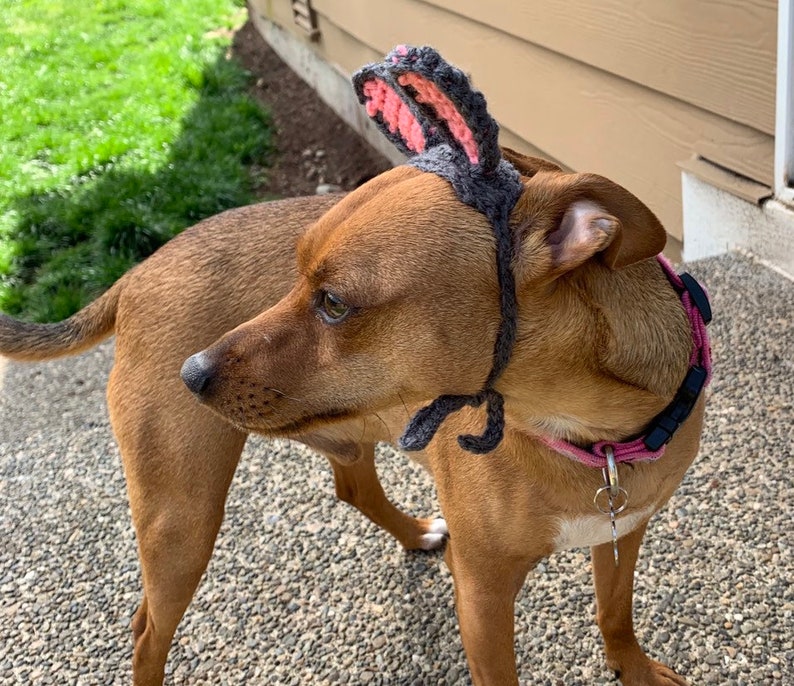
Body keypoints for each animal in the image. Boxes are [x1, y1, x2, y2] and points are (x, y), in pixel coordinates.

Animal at [1, 146, 704, 686]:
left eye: (334, 303)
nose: (190, 374)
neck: (592, 434)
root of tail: (135, 272)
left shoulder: (624, 531)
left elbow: (615, 614)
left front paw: (634, 669)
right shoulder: (482, 592)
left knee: (353, 488)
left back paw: (414, 532)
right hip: (182, 521)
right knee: (148, 629)